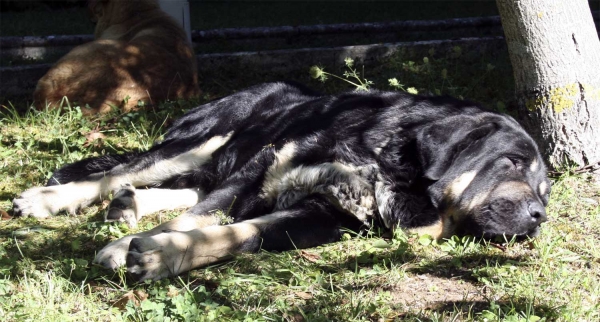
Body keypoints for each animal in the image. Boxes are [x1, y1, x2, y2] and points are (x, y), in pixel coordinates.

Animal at [12, 82, 548, 280]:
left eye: (545, 190)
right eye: (512, 162)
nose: (539, 216)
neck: (392, 166)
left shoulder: (323, 217)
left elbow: (238, 233)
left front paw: (163, 254)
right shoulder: (263, 168)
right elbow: (195, 219)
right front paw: (133, 248)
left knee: (184, 186)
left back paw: (129, 206)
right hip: (209, 139)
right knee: (124, 171)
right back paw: (45, 199)